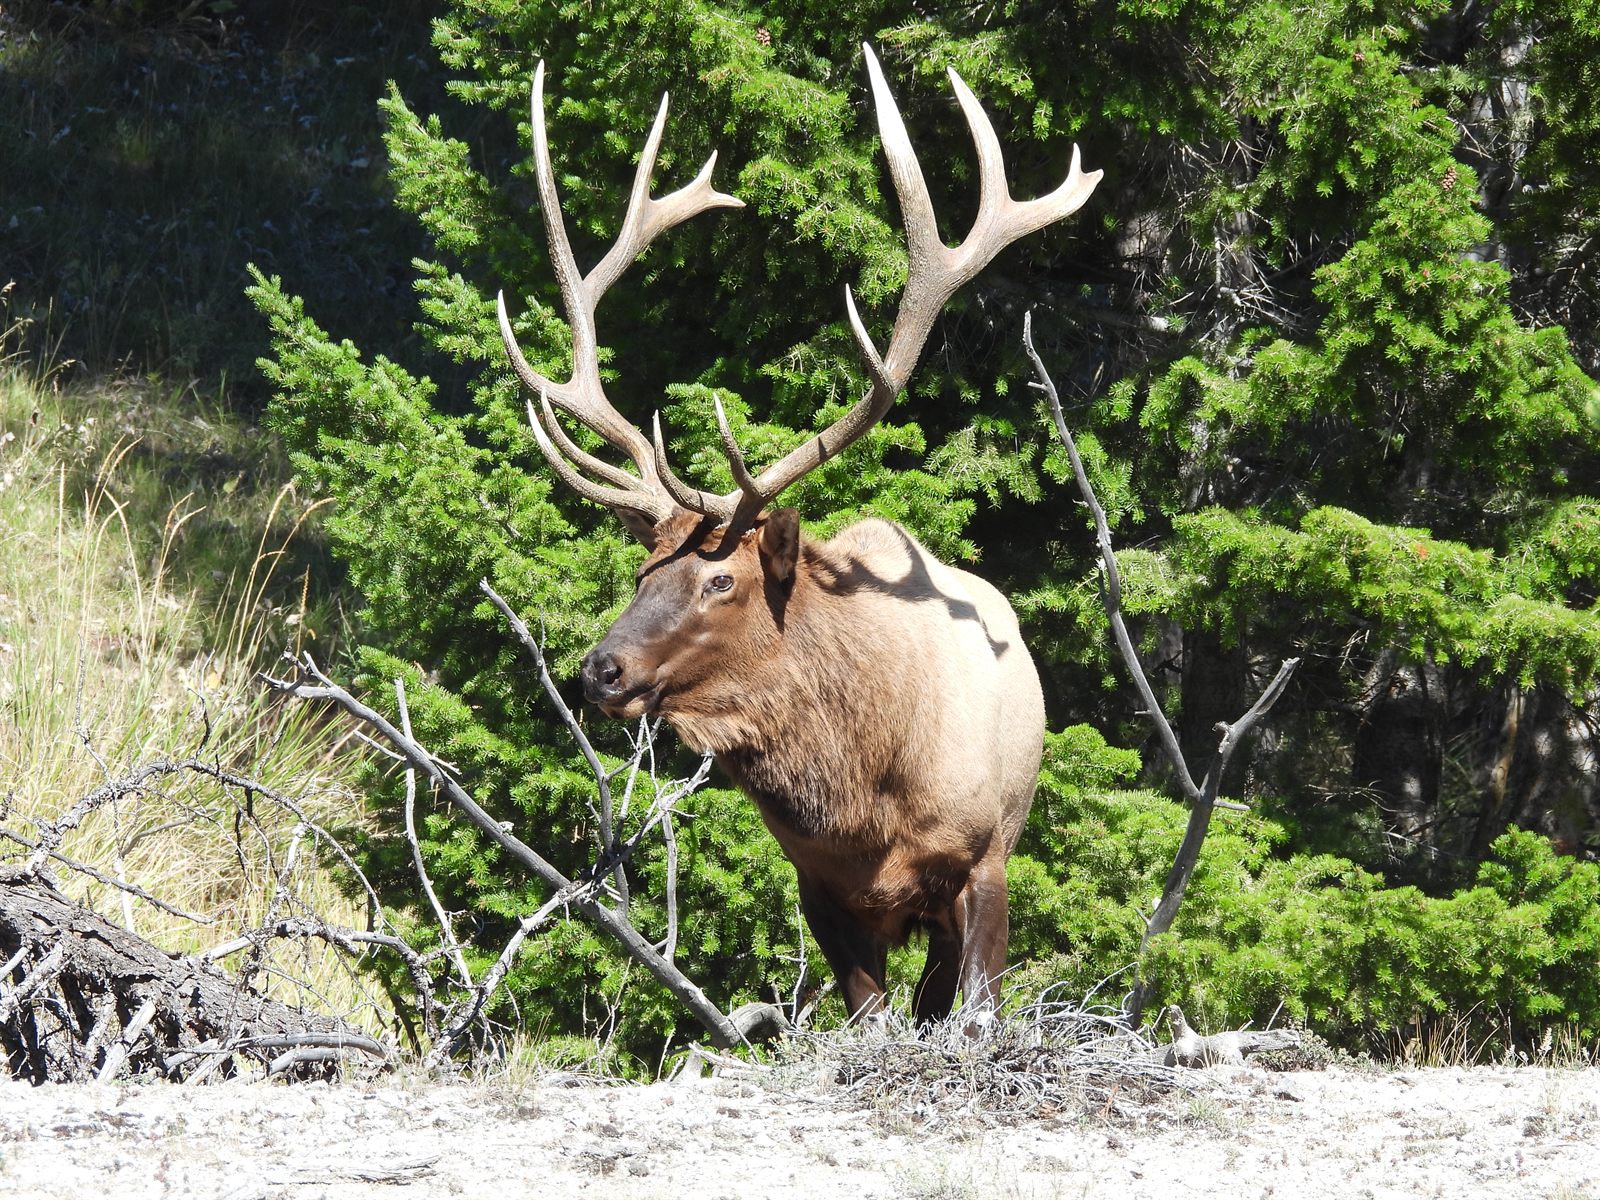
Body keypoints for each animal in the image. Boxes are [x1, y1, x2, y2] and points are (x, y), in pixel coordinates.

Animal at [496, 46, 1100, 1025]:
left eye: (721, 580)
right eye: (640, 573)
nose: (600, 671)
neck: (866, 793)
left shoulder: (983, 859)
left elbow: (977, 1007)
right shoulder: (820, 886)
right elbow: (867, 1015)